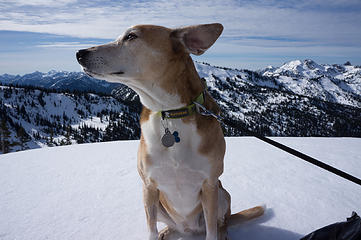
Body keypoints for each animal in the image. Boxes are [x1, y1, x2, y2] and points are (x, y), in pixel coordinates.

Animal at [76, 23, 262, 240]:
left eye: (131, 36)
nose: (80, 53)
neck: (171, 113)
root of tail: (189, 229)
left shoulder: (209, 184)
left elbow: (212, 231)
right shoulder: (148, 186)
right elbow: (151, 229)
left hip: (222, 193)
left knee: (221, 223)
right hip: (158, 203)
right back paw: (167, 232)